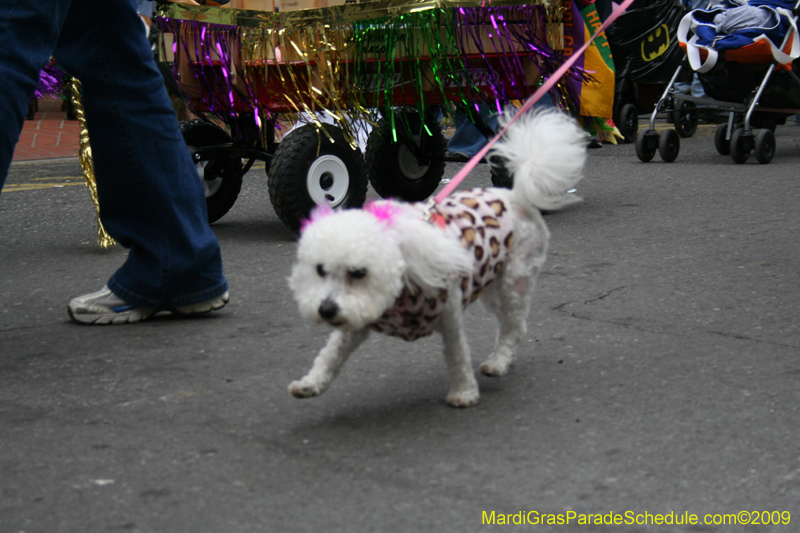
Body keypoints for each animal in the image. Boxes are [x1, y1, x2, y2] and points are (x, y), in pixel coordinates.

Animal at [286, 109, 580, 408]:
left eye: (358, 273)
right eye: (320, 270)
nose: (326, 310)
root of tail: (516, 195)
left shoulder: (449, 316)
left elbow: (457, 355)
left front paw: (463, 392)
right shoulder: (356, 317)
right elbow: (331, 354)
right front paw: (311, 383)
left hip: (514, 280)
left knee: (514, 325)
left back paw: (498, 362)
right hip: (491, 282)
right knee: (508, 321)